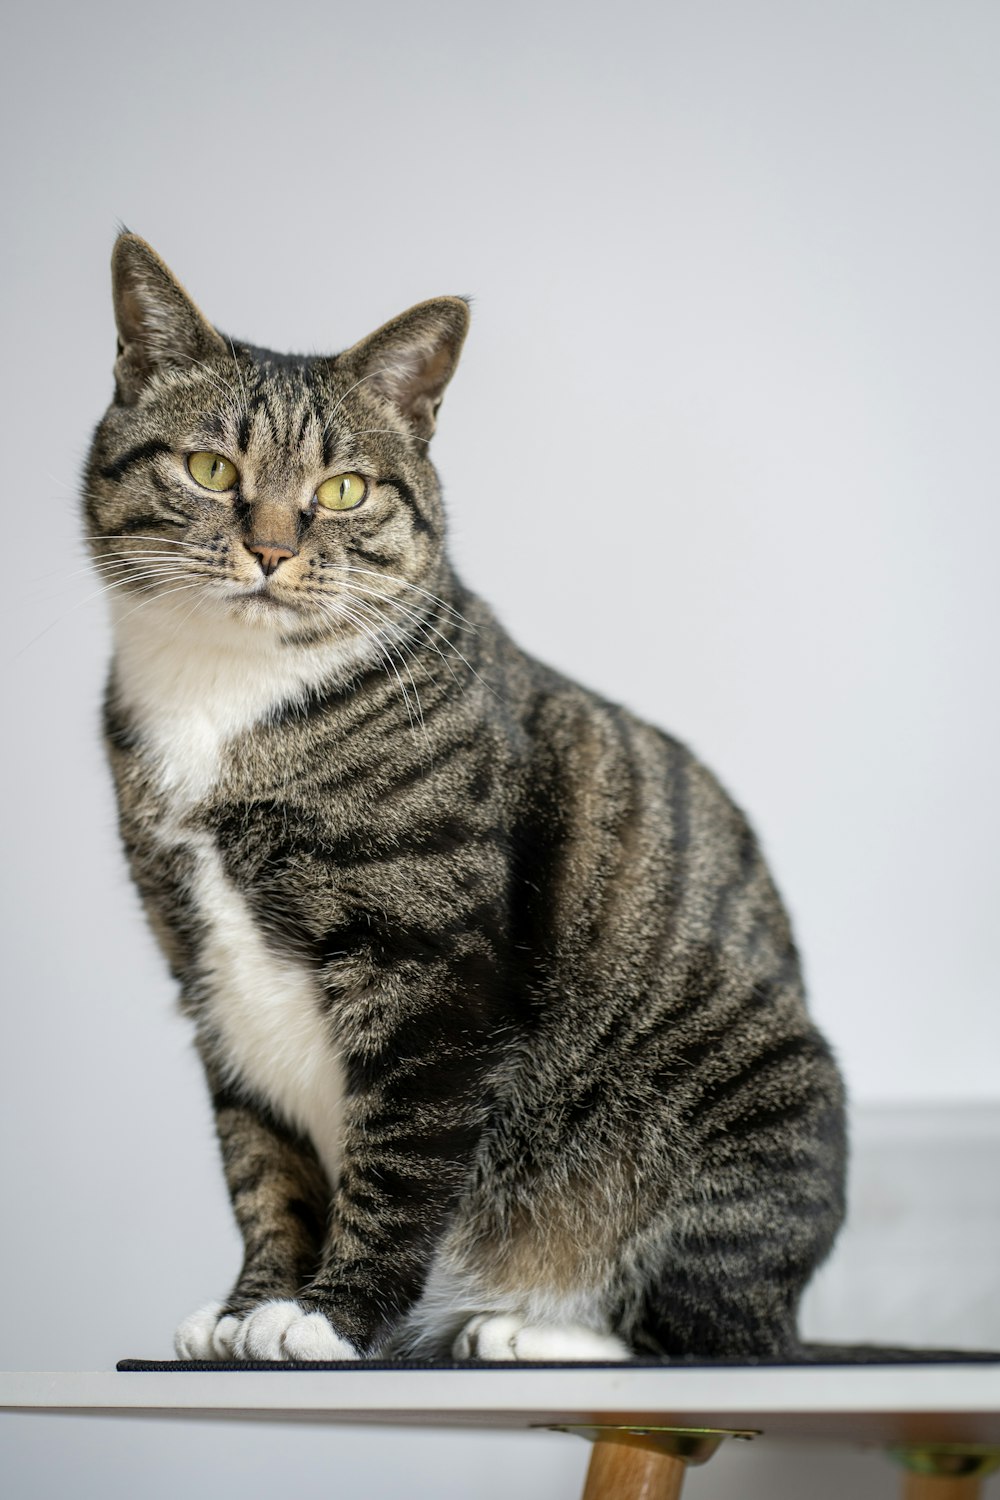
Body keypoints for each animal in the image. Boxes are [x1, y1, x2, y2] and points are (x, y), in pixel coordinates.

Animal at [88, 231, 851, 1362]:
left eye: (345, 490)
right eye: (211, 468)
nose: (271, 547)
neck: (226, 698)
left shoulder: (432, 972)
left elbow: (401, 1158)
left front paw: (327, 1316)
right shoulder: (206, 976)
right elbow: (261, 1169)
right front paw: (246, 1307)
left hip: (758, 1098)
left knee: (706, 1334)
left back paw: (530, 1329)